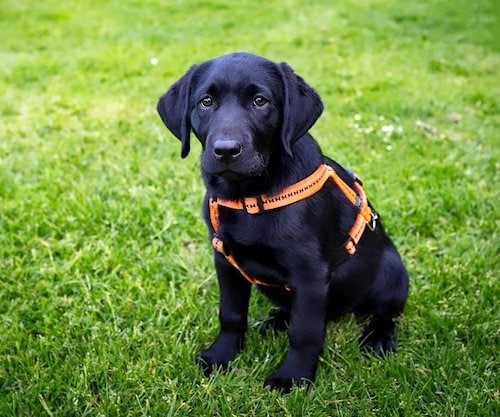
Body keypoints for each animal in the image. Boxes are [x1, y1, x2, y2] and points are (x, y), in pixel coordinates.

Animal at [157, 51, 410, 390]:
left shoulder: (310, 275)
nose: (226, 150)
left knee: (386, 314)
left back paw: (378, 338)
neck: (250, 196)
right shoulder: (225, 261)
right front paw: (220, 356)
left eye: (260, 101)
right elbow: (231, 315)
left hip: (393, 272)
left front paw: (293, 377)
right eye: (206, 102)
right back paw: (276, 320)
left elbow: (305, 332)